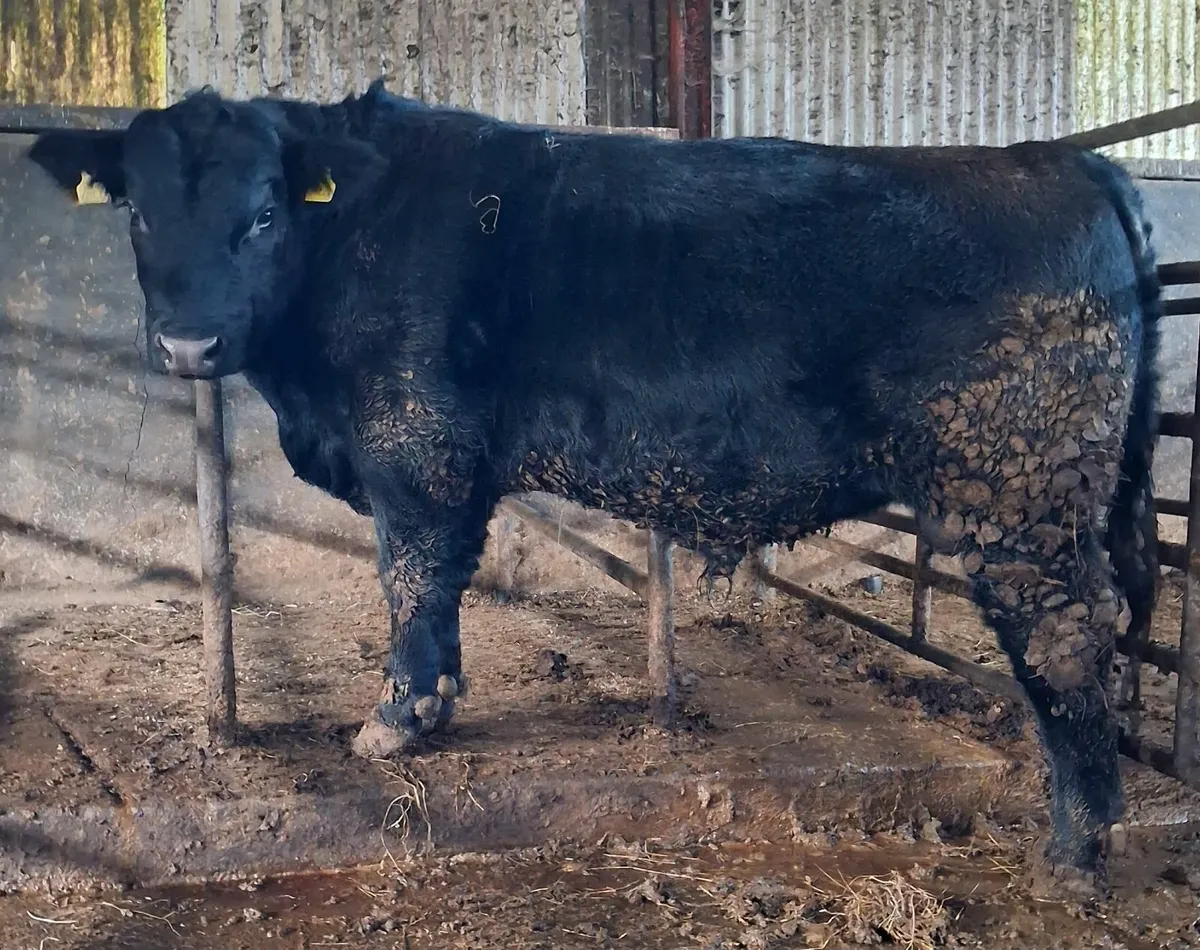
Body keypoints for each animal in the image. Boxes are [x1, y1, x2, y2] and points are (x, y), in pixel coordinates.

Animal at [26, 79, 1161, 894]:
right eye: (136, 214)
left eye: (265, 212)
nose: (188, 344)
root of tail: (1061, 161)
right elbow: (436, 584)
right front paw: (434, 705)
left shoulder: (416, 444)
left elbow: (413, 577)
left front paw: (396, 719)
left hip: (1019, 488)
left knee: (1066, 634)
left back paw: (1077, 852)